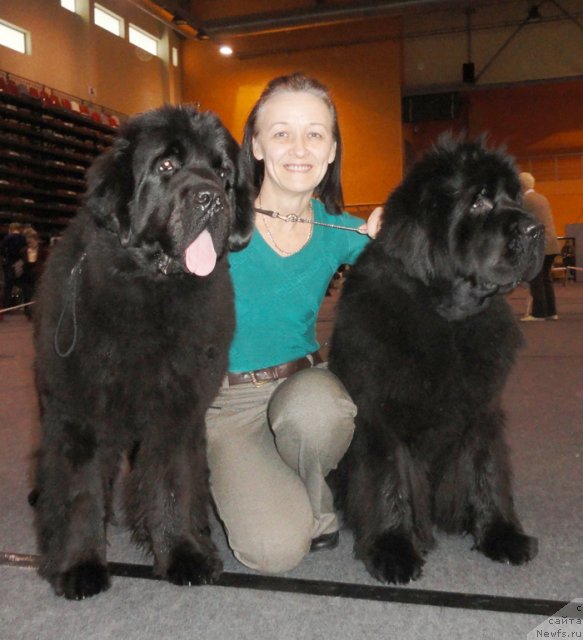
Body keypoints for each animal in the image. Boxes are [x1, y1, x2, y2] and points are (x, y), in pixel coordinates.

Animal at [32, 105, 254, 600]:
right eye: (166, 165)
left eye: (223, 173)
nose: (212, 199)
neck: (153, 290)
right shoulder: (80, 412)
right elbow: (80, 491)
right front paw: (79, 565)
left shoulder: (176, 410)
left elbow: (171, 482)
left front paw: (183, 553)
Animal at [330, 136, 544, 584]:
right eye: (478, 202)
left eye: (514, 198)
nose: (536, 229)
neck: (448, 319)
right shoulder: (380, 417)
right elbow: (388, 481)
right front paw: (393, 550)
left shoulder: (481, 410)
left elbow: (487, 471)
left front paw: (501, 535)